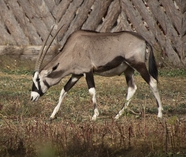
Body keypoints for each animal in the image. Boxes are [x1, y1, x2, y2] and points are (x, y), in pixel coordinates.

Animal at [30, 24, 163, 120]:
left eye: (38, 79)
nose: (32, 97)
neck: (72, 49)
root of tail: (144, 40)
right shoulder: (76, 74)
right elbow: (64, 90)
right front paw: (52, 115)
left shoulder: (88, 72)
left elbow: (92, 91)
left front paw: (95, 116)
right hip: (128, 69)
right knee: (132, 88)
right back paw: (118, 115)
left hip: (138, 65)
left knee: (152, 82)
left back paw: (160, 113)